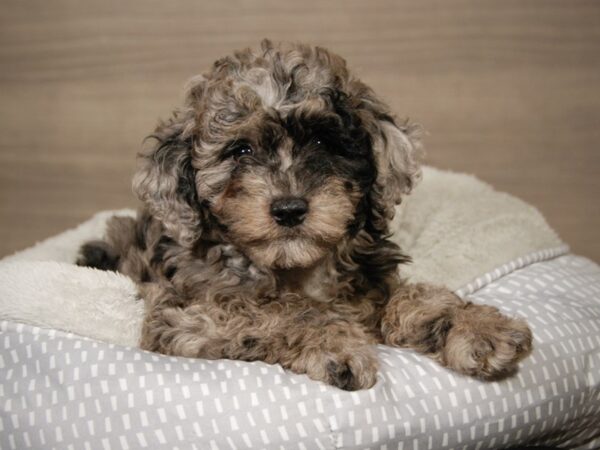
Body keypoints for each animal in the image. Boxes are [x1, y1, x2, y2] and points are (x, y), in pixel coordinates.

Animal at [77, 39, 532, 390]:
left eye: (321, 141)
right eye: (240, 150)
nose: (289, 209)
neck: (296, 268)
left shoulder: (367, 286)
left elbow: (412, 296)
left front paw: (475, 325)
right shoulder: (184, 316)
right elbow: (281, 309)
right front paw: (334, 345)